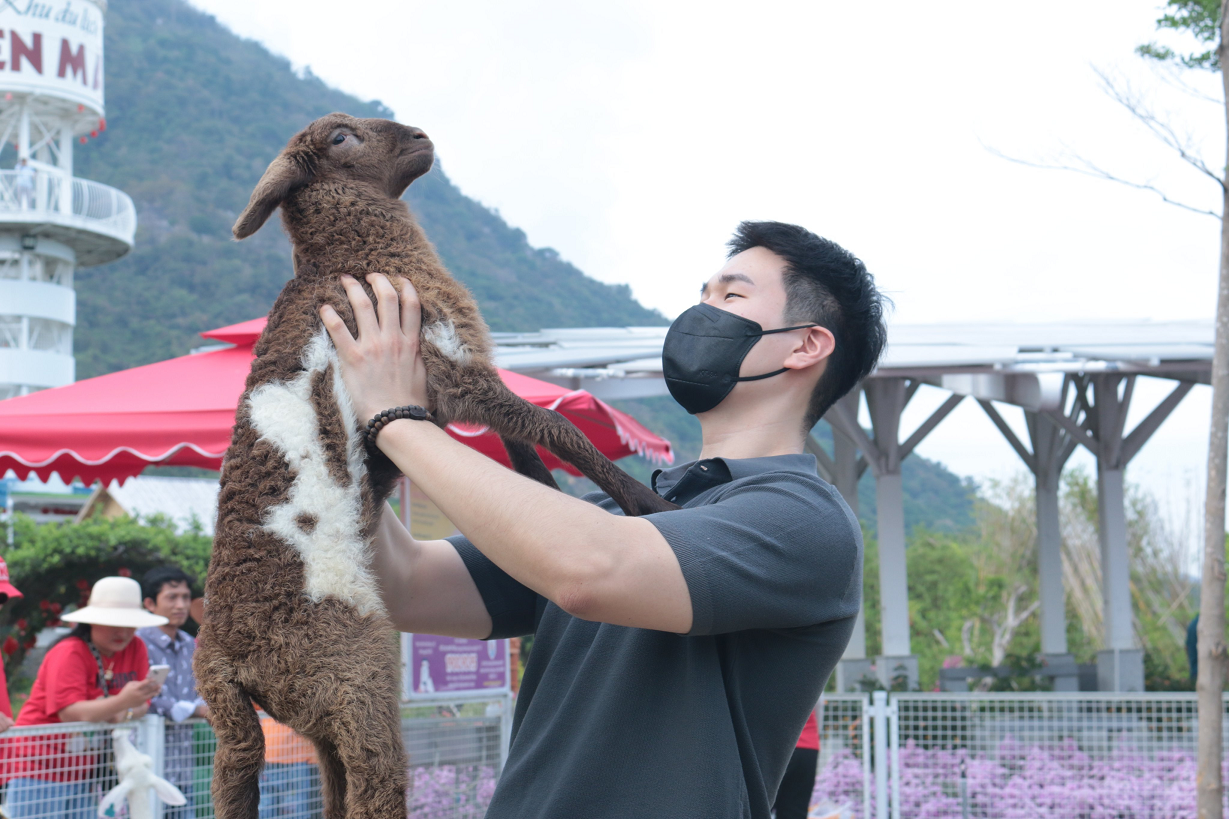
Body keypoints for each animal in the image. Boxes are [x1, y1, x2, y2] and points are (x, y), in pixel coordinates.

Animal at [194, 111, 673, 816]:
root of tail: (227, 661)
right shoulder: (448, 364)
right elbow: (551, 424)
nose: (421, 137)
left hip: (290, 721)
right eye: (340, 138)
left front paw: (553, 496)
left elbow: (521, 441)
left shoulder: (455, 377)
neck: (349, 257)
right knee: (373, 784)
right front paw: (647, 503)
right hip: (354, 675)